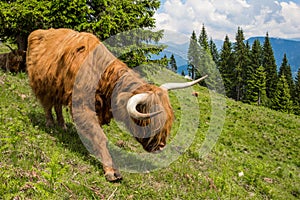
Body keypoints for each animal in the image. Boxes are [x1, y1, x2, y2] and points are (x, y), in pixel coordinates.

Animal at [27, 28, 207, 181]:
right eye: (149, 121)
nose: (161, 146)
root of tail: (38, 31)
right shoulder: (82, 106)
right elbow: (100, 136)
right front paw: (111, 171)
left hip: (57, 88)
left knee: (57, 105)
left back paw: (62, 125)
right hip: (42, 84)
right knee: (47, 105)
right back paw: (50, 124)